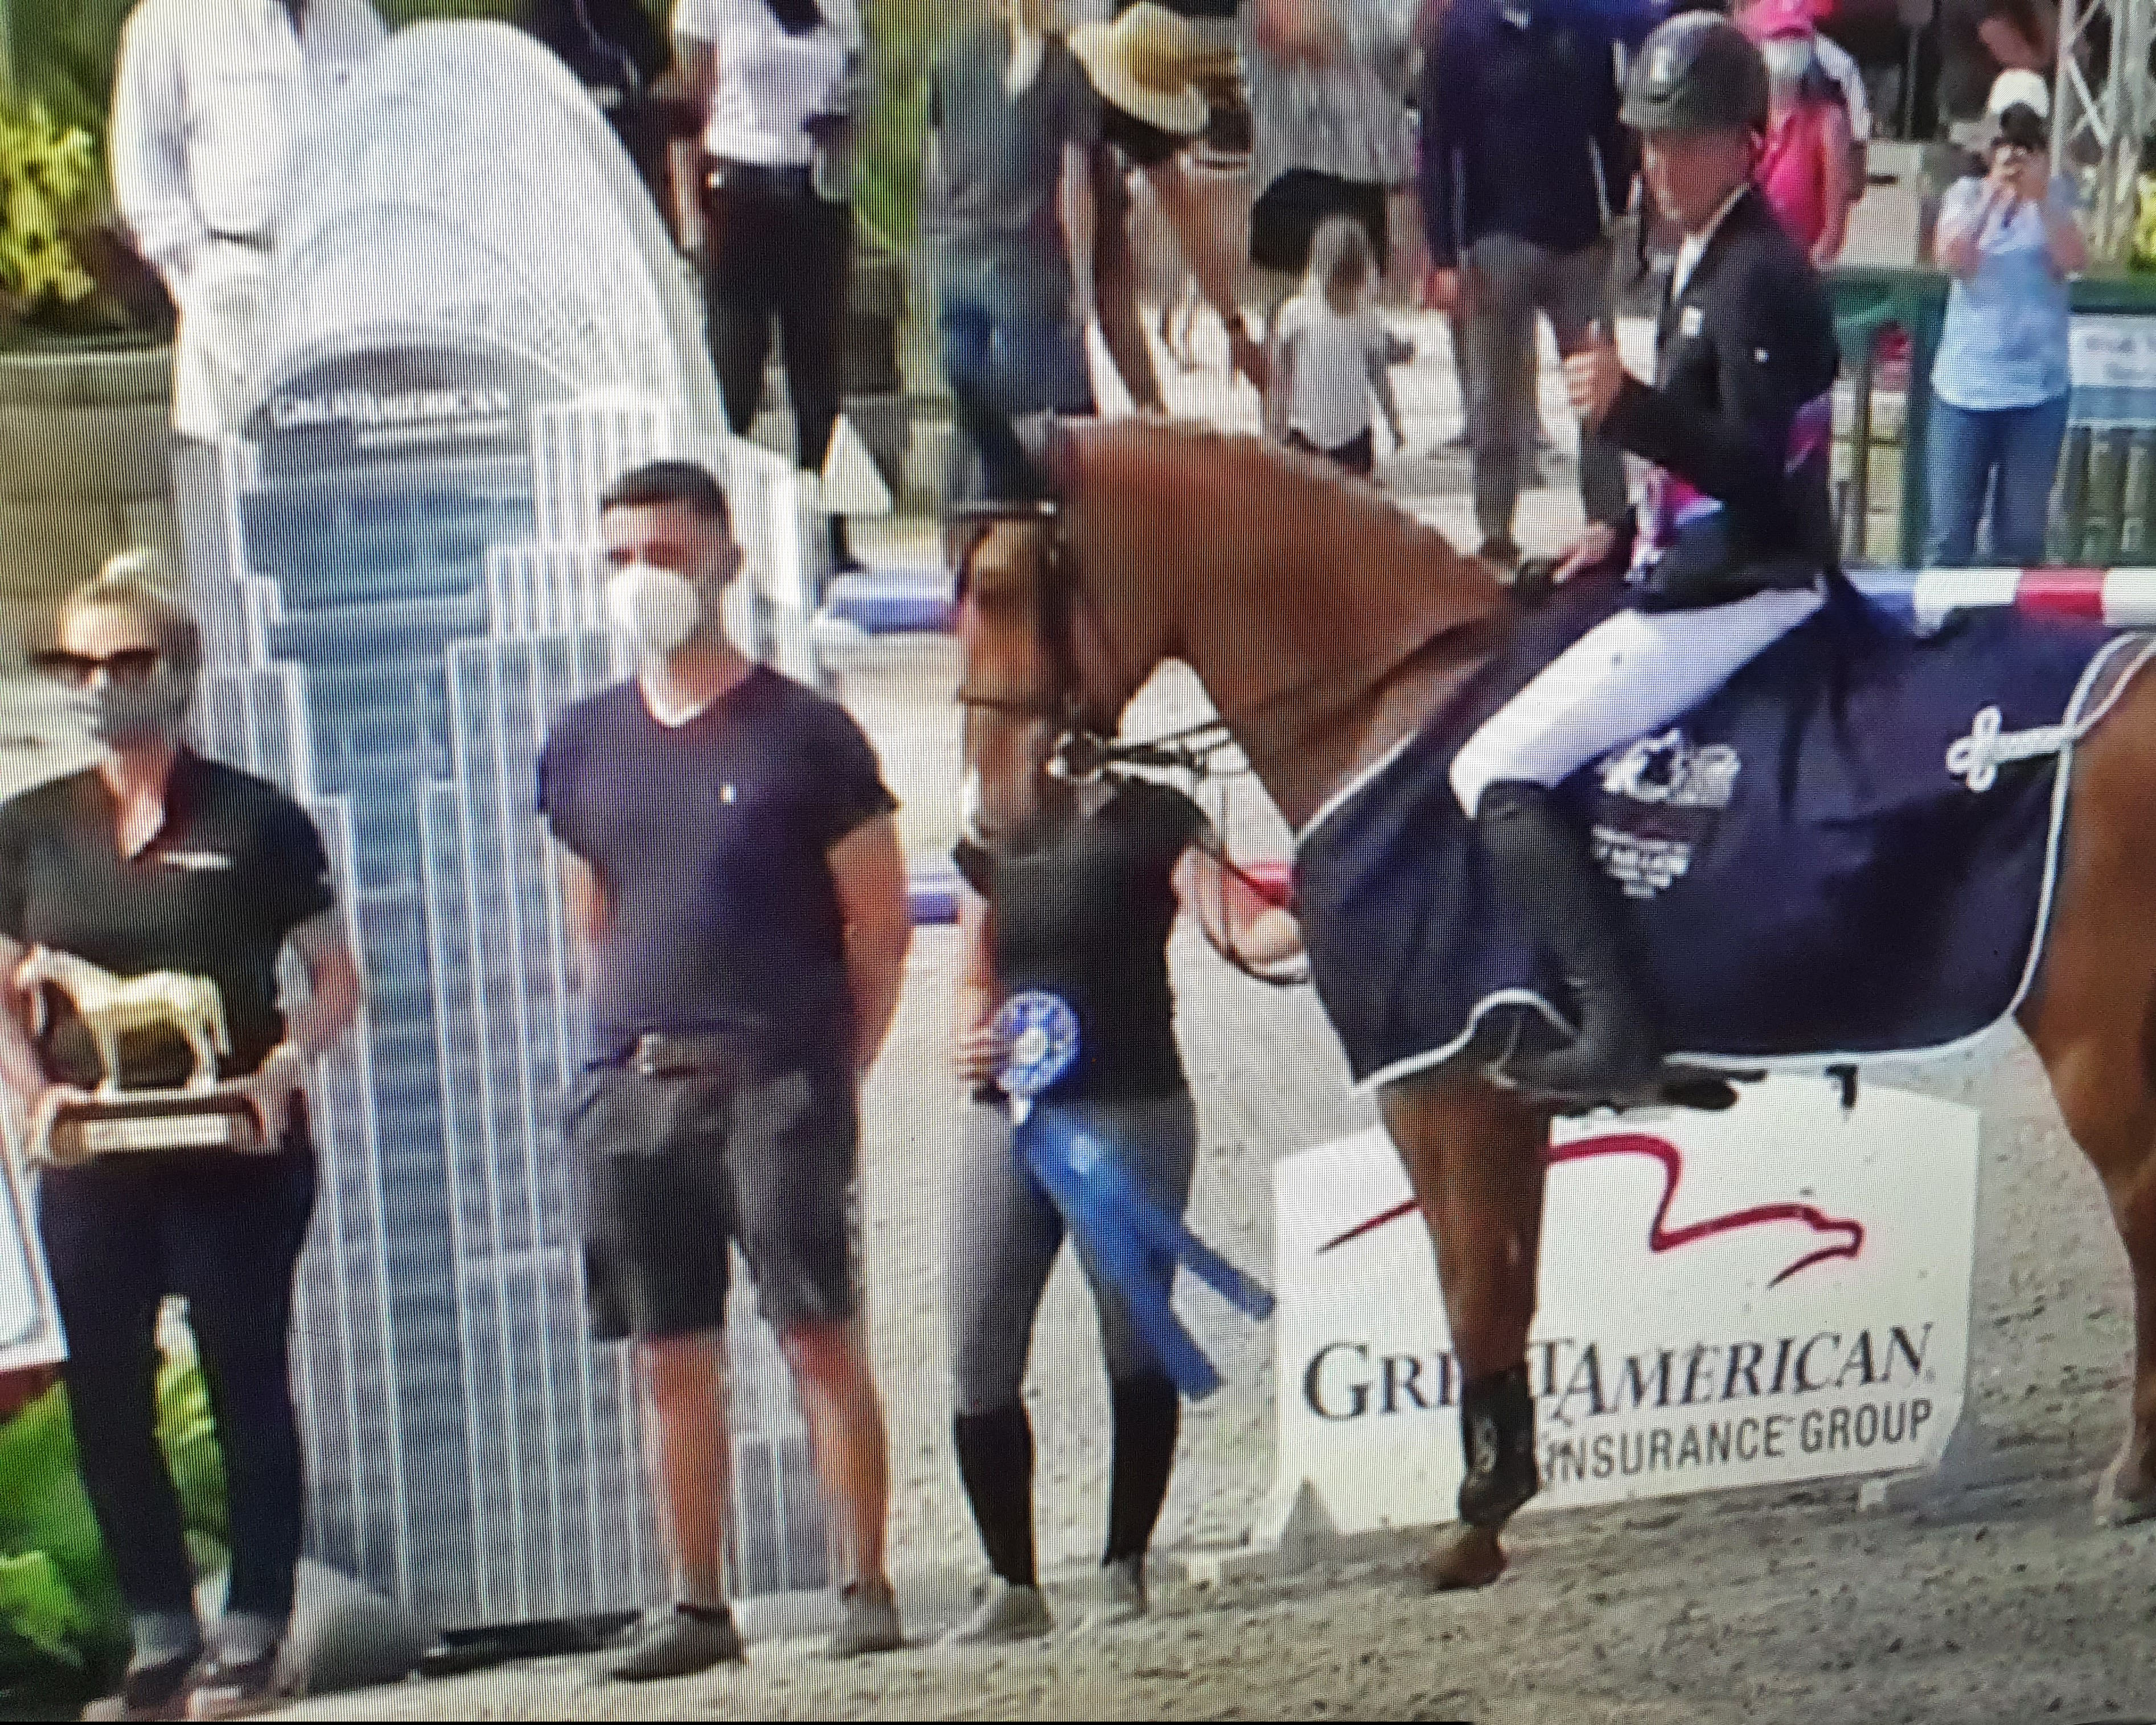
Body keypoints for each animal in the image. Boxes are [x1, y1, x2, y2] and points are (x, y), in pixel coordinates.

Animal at [957, 412, 2156, 1587]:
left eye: (1004, 585)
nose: (982, 832)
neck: (1391, 703)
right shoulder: (1496, 1093)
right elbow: (1507, 1279)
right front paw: (1498, 1497)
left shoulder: (1438, 1085)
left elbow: (1471, 1283)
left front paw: (1475, 1519)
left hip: (2097, 1051)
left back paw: (2132, 1475)